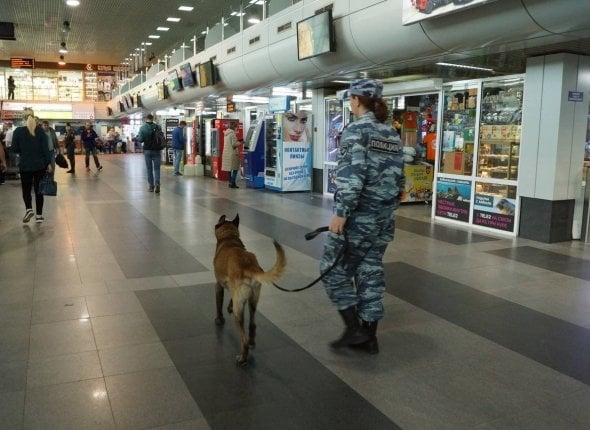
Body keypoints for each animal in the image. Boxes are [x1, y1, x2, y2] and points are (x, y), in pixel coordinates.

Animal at [214, 213, 288, 364]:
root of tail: (249, 267)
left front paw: (219, 319)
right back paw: (253, 341)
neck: (229, 239)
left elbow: (219, 304)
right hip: (253, 301)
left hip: (239, 314)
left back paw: (243, 357)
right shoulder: (234, 291)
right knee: (252, 324)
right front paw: (229, 306)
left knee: (244, 340)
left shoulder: (219, 285)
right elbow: (231, 299)